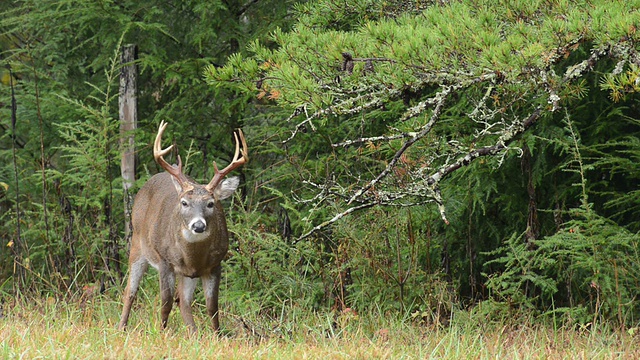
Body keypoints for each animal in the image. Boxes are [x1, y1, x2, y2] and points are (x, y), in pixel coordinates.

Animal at [117, 121, 248, 334]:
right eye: (185, 203)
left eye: (211, 203)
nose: (198, 225)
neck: (192, 257)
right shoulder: (165, 261)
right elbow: (165, 302)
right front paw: (161, 332)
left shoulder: (215, 264)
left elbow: (212, 307)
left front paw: (218, 335)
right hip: (137, 244)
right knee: (130, 291)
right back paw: (121, 327)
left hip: (187, 273)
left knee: (184, 301)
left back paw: (193, 332)